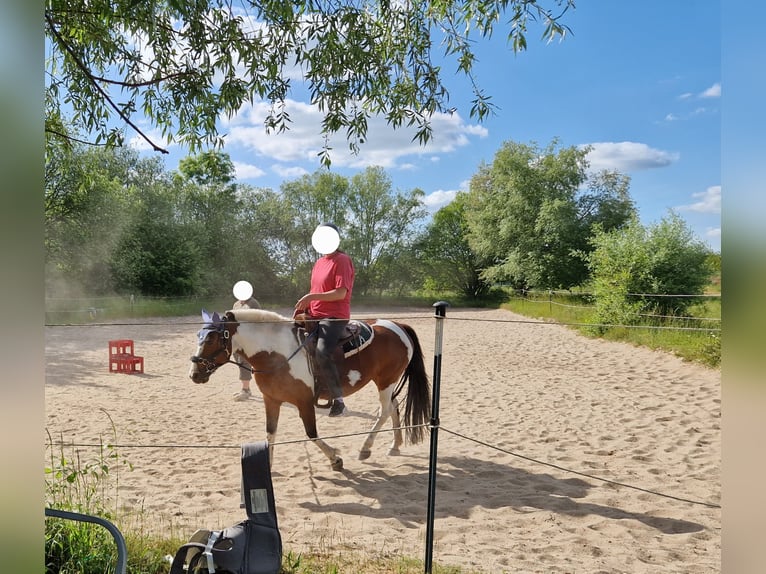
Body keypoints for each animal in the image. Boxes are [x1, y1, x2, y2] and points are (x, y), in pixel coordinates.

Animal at [190, 310, 432, 472]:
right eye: (198, 336)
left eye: (211, 338)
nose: (194, 373)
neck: (277, 353)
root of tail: (398, 325)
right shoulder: (272, 399)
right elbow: (270, 432)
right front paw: (268, 465)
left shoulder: (305, 401)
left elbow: (311, 433)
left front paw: (335, 459)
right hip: (386, 382)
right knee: (394, 406)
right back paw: (395, 445)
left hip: (385, 380)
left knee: (385, 410)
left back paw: (365, 448)